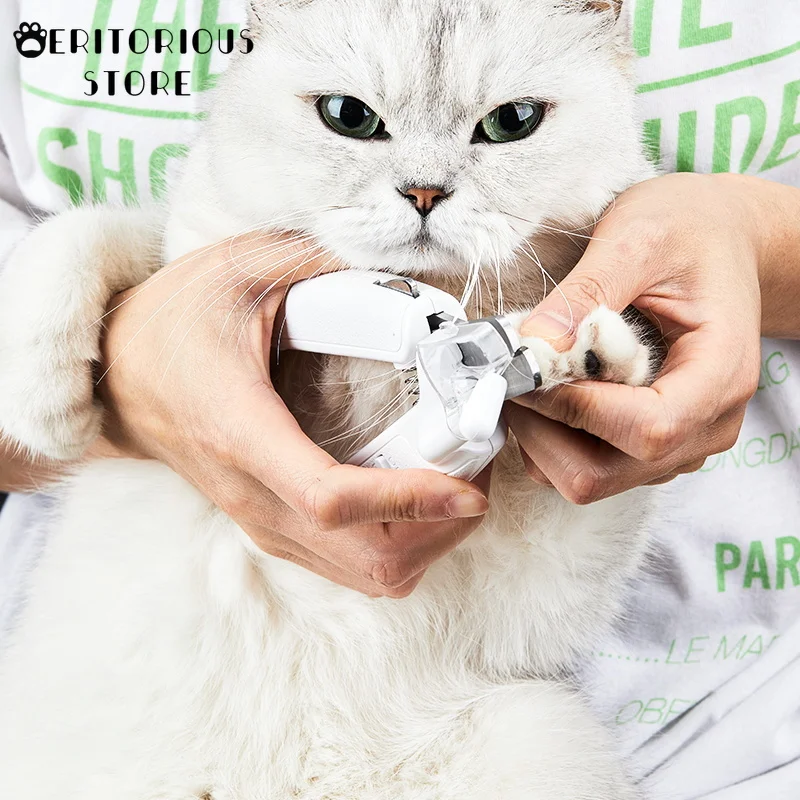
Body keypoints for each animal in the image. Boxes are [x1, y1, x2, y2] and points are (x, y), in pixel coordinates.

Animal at [0, 1, 660, 798]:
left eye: (512, 122)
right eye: (349, 117)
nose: (424, 194)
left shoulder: (537, 584)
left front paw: (589, 355)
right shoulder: (194, 252)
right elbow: (85, 231)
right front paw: (48, 405)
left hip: (538, 733)